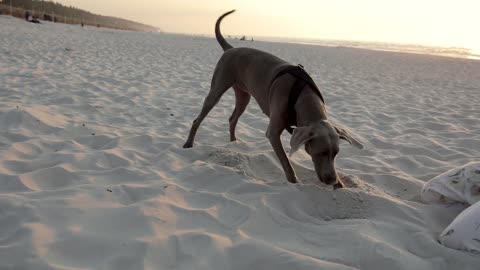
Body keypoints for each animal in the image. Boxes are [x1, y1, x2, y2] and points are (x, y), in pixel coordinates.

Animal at [182, 10, 362, 188]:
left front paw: (341, 184)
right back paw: (189, 143)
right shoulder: (273, 132)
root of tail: (230, 49)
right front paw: (295, 182)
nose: (332, 180)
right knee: (198, 118)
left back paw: (233, 142)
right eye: (321, 152)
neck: (303, 97)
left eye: (335, 154)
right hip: (217, 88)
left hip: (243, 95)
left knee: (232, 117)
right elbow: (286, 163)